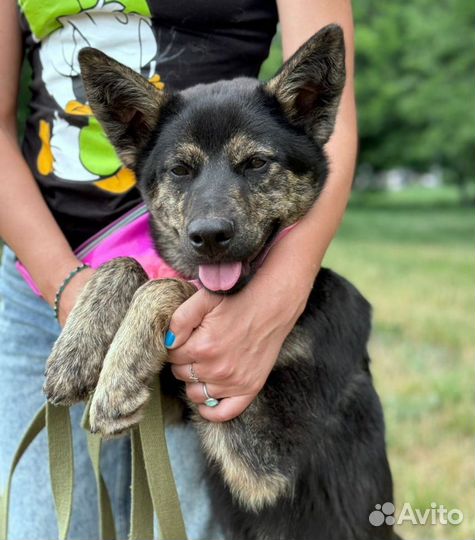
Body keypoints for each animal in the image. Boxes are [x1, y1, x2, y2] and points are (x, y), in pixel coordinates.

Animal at [43, 25, 398, 540]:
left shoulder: (264, 459)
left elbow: (170, 286)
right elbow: (128, 264)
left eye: (255, 163)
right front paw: (80, 349)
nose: (208, 237)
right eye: (180, 170)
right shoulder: (184, 404)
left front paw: (119, 367)